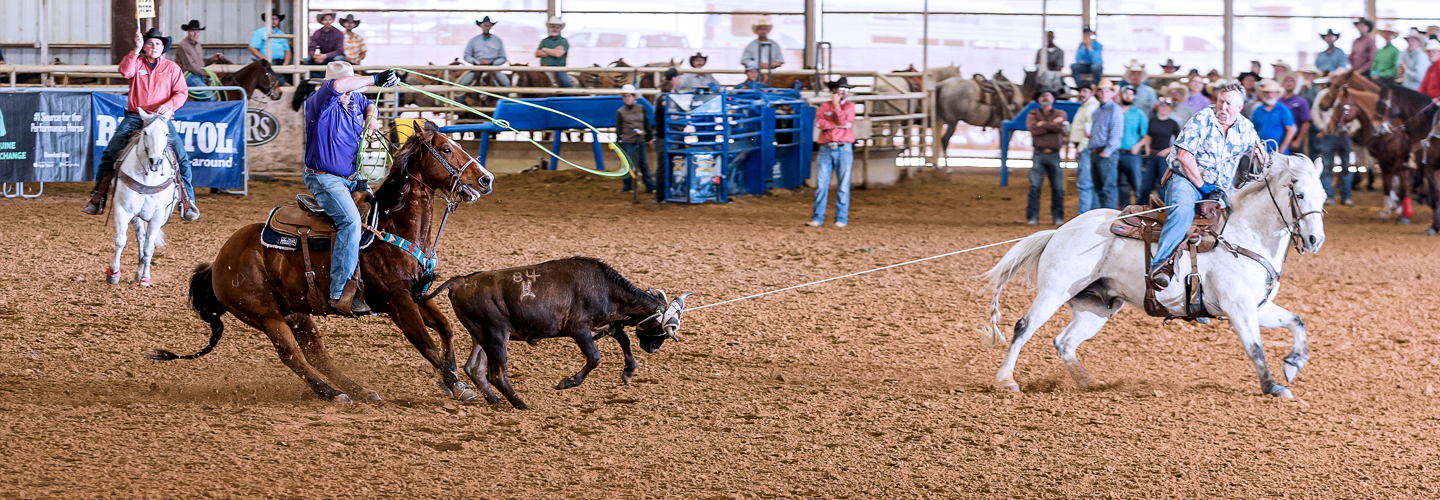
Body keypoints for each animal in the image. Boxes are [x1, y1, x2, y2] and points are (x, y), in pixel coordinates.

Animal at [105, 108, 180, 289]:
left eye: (166, 133)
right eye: (146, 133)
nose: (156, 161)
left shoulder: (158, 216)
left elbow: (149, 248)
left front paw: (146, 278)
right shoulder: (123, 209)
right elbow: (121, 240)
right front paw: (114, 273)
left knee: (146, 240)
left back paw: (141, 272)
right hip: (136, 216)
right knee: (140, 237)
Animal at [146, 122, 495, 406]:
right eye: (446, 149)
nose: (486, 179)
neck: (392, 226)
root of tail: (218, 262)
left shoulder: (416, 294)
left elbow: (446, 329)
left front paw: (451, 379)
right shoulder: (398, 302)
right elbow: (426, 344)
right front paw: (457, 385)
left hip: (296, 311)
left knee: (318, 355)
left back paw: (358, 390)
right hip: (265, 316)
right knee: (292, 355)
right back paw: (332, 393)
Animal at [979, 153, 1324, 400]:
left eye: (1322, 196)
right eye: (1299, 195)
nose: (1314, 240)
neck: (1244, 236)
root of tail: (1060, 231)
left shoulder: (1258, 306)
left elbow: (1297, 321)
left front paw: (1293, 364)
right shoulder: (1238, 306)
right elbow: (1255, 347)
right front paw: (1274, 386)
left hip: (1096, 307)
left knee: (1064, 342)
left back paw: (1089, 382)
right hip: (1054, 291)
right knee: (1023, 327)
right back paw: (1006, 380)